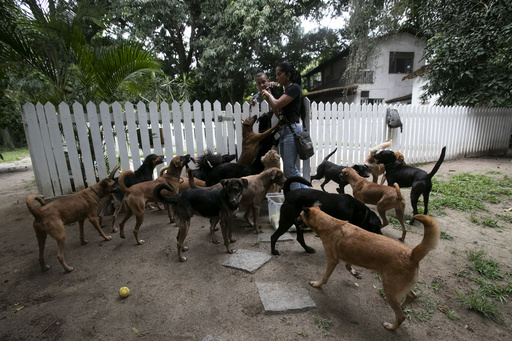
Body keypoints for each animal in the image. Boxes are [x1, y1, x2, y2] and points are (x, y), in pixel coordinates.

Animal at [300, 205, 440, 330]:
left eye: (300, 216)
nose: (295, 220)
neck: (330, 224)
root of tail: (412, 254)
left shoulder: (332, 260)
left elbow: (325, 277)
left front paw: (317, 284)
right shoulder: (349, 256)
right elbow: (348, 266)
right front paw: (354, 273)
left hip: (389, 290)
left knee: (401, 316)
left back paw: (391, 327)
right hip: (398, 287)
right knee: (412, 295)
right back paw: (402, 306)